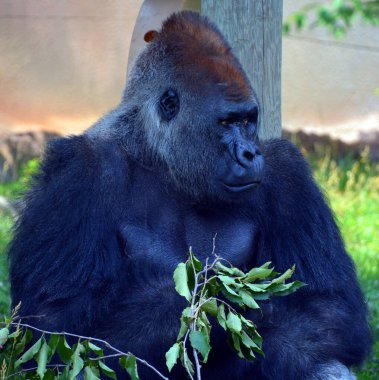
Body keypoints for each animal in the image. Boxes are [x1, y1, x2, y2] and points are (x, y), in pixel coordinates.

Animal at [8, 10, 372, 378]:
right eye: (226, 123)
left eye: (248, 120)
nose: (250, 154)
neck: (156, 155)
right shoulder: (75, 174)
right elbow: (57, 326)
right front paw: (219, 298)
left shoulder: (287, 172)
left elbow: (327, 307)